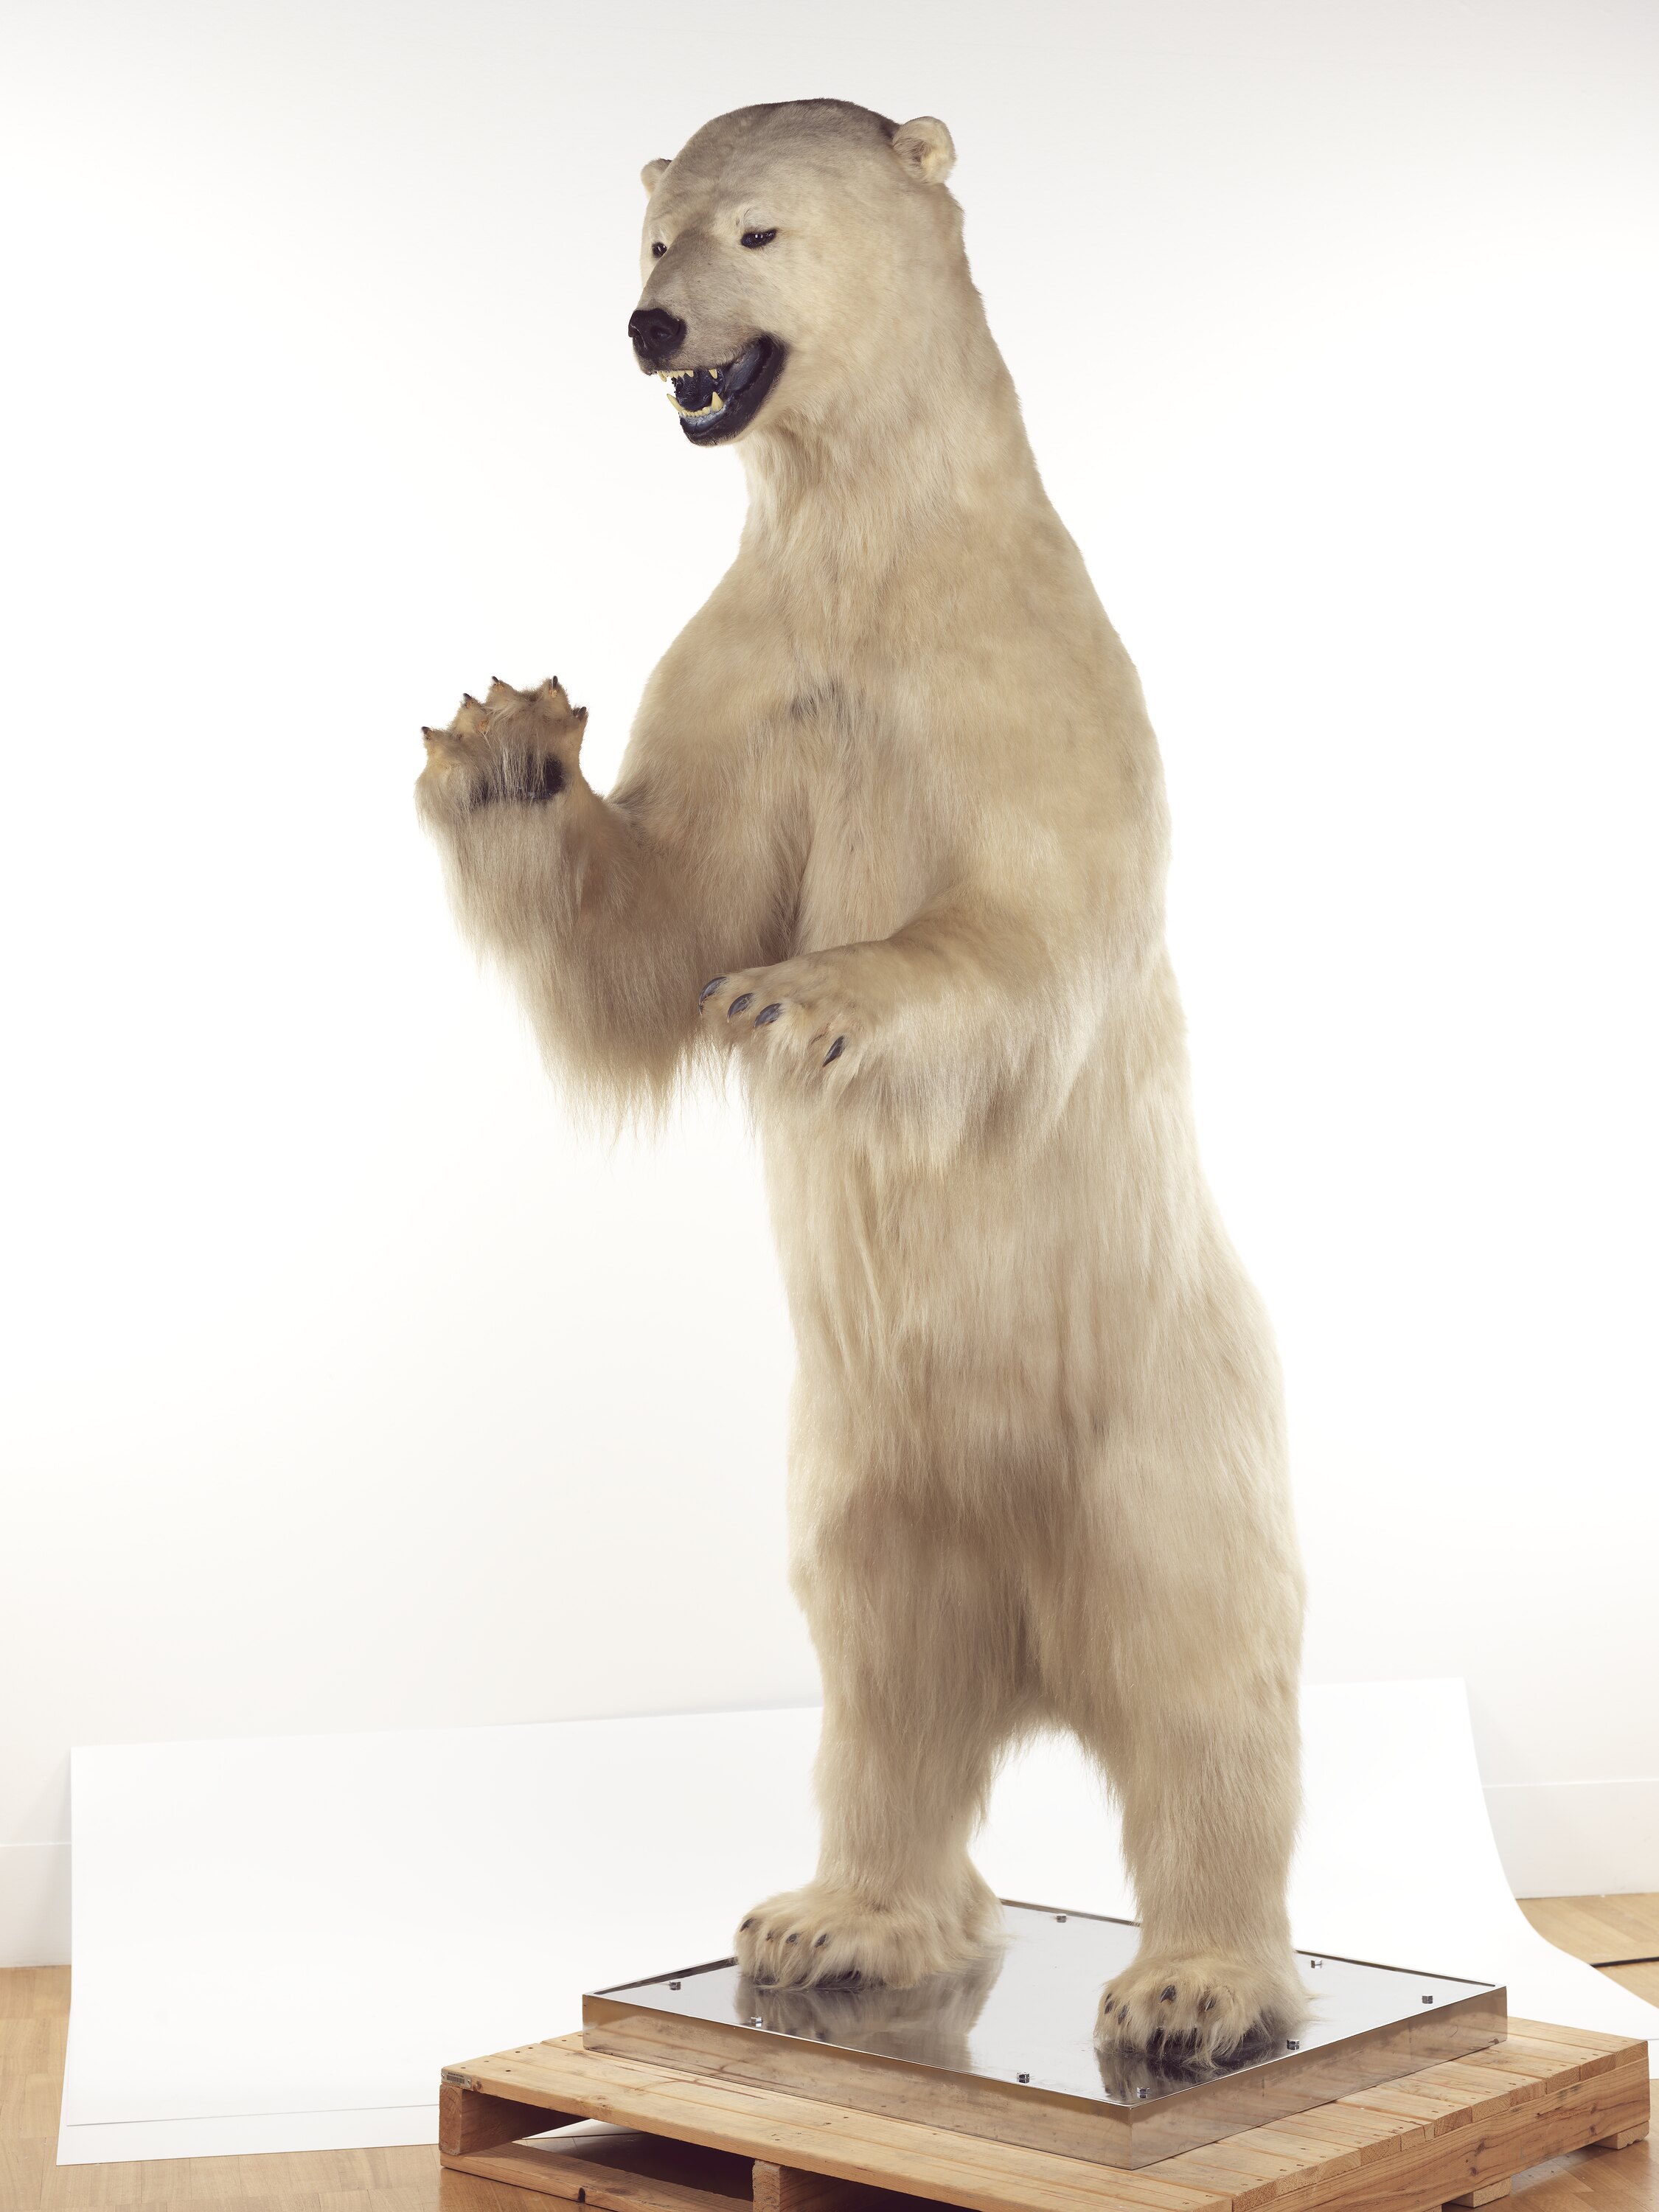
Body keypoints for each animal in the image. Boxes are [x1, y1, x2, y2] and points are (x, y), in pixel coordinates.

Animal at [417, 97, 1306, 2069]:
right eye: (654, 236)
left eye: (756, 230)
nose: (650, 333)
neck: (881, 554)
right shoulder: (756, 673)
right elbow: (658, 924)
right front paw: (504, 748)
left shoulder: (1032, 684)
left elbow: (1027, 924)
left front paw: (808, 997)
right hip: (857, 1465)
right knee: (883, 1674)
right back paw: (841, 1923)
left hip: (1166, 1422)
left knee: (1203, 1675)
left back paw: (1199, 1983)